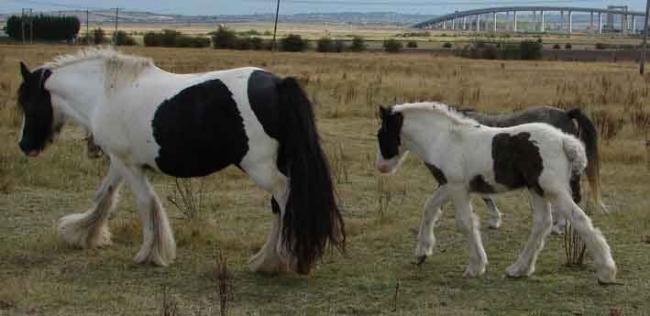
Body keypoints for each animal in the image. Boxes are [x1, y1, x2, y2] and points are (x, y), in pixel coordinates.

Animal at [16, 47, 344, 274]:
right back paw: (266, 261)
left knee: (285, 196)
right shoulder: (120, 162)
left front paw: (150, 254)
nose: (24, 145)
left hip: (261, 168)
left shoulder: (129, 165)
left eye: (28, 103)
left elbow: (145, 204)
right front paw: (82, 233)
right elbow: (104, 196)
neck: (106, 93)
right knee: (279, 205)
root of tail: (277, 84)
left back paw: (284, 258)